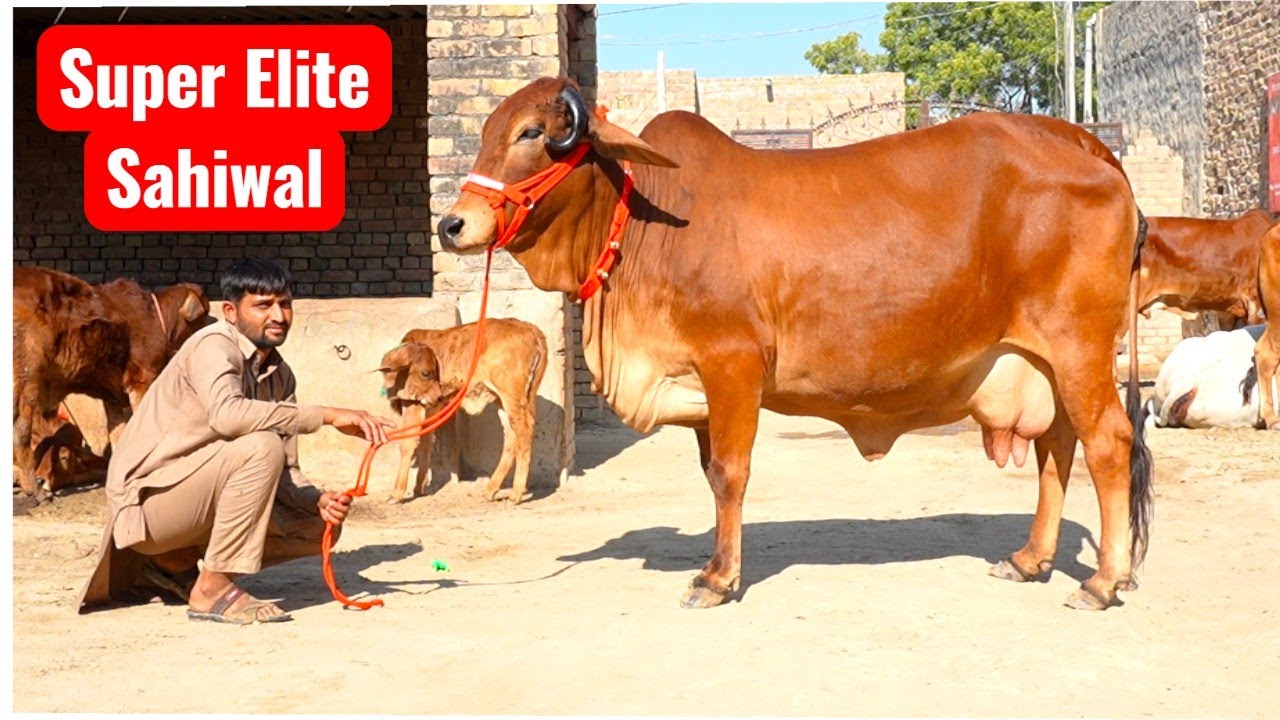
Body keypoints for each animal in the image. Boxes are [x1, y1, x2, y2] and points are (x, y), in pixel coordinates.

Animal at [12, 266, 211, 499]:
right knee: (21, 429)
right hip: (27, 380)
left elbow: (119, 434)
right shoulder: (142, 380)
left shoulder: (113, 396)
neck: (156, 319)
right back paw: (34, 489)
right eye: (205, 314)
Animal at [377, 319, 548, 504]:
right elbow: (426, 443)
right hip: (506, 400)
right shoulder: (430, 410)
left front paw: (396, 494)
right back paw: (490, 491)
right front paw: (419, 488)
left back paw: (515, 494)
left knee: (524, 431)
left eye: (426, 373)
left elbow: (408, 443)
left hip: (511, 395)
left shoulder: (413, 404)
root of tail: (529, 327)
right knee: (511, 435)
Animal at [437, 77, 1152, 611]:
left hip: (1079, 349)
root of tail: (1087, 143)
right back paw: (1031, 559)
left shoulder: (732, 366)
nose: (453, 224)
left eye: (533, 134)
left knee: (1108, 444)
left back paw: (1103, 580)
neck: (644, 221)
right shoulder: (703, 391)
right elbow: (712, 476)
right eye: (488, 131)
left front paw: (718, 579)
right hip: (1043, 363)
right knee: (1057, 448)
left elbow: (730, 473)